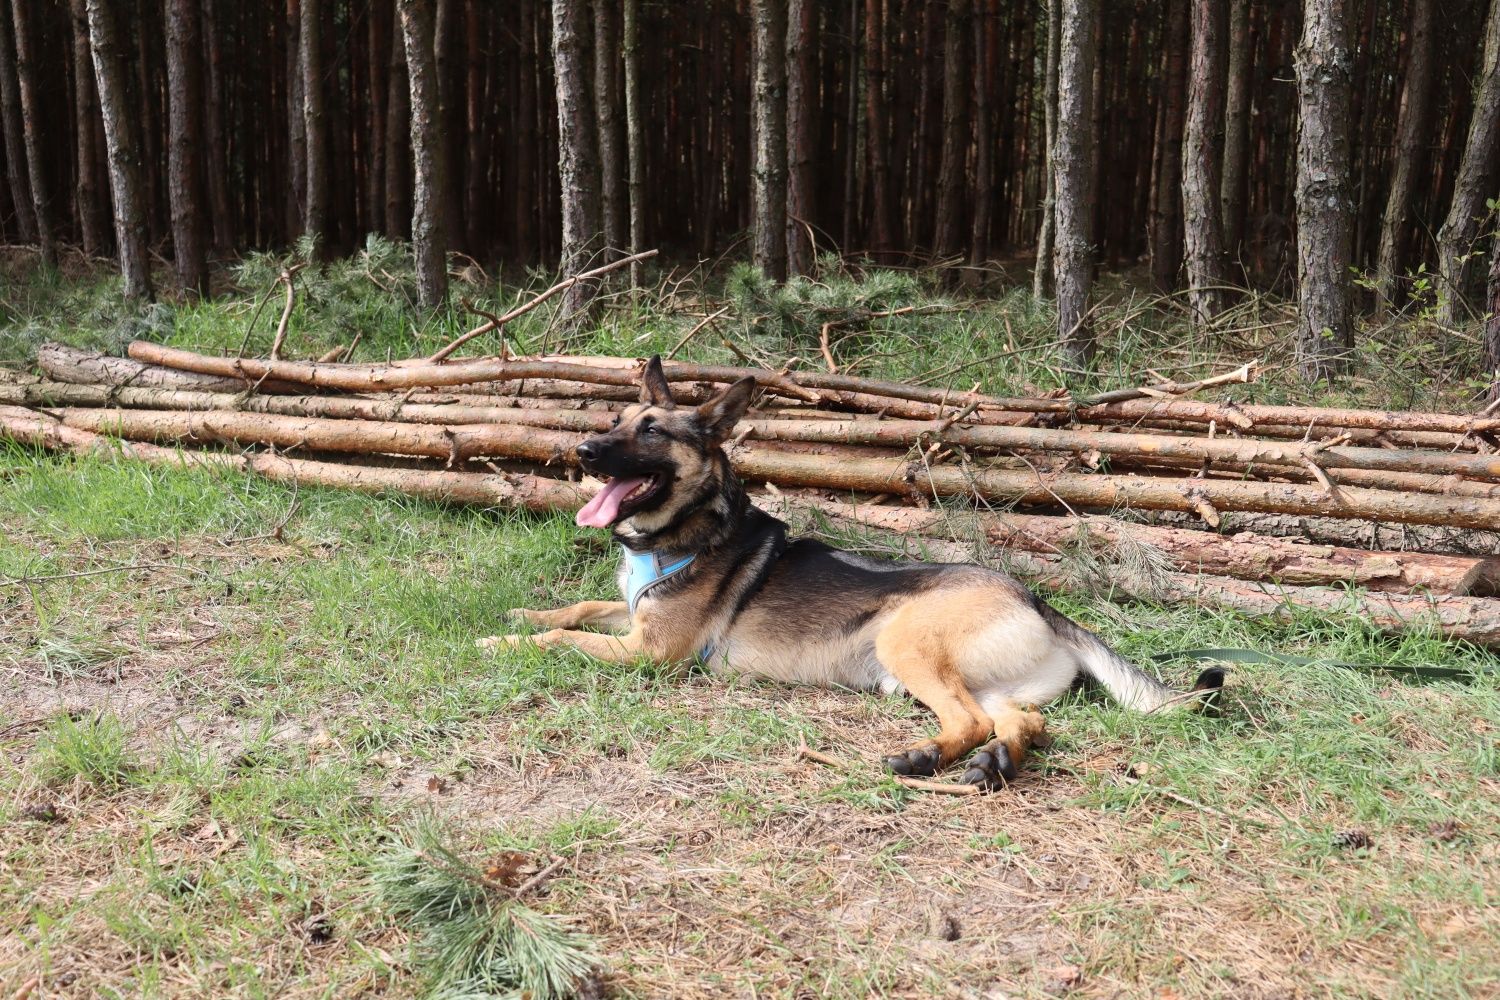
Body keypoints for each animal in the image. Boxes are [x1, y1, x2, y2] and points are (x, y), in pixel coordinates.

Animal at [486, 355, 1224, 785]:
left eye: (652, 433)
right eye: (615, 419)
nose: (582, 450)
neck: (683, 529)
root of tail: (1035, 599)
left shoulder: (650, 651)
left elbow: (563, 637)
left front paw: (500, 638)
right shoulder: (632, 615)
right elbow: (579, 609)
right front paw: (518, 611)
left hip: (905, 641)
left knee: (970, 721)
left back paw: (929, 756)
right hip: (990, 683)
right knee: (1021, 723)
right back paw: (993, 763)